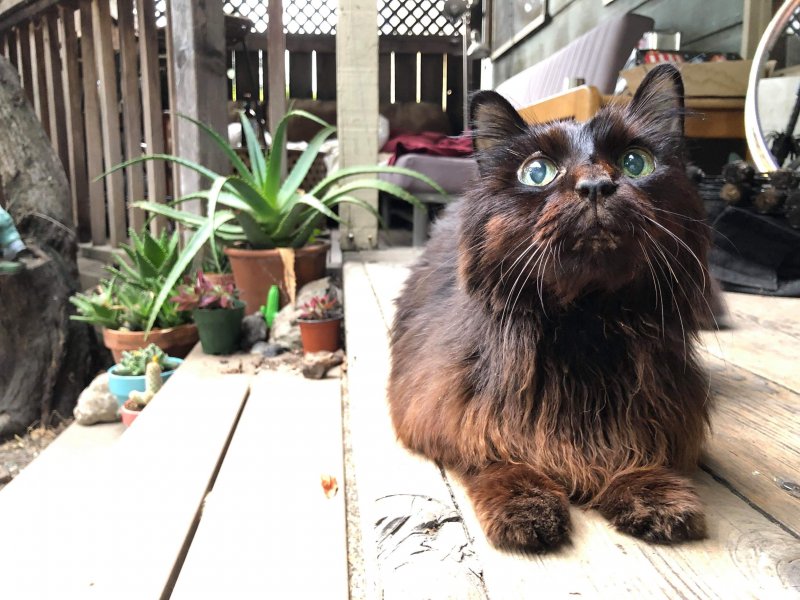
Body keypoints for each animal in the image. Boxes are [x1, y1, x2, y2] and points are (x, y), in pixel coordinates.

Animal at [388, 64, 712, 552]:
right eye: (537, 172)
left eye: (636, 162)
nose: (595, 186)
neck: (587, 321)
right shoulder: (444, 409)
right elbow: (495, 455)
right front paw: (524, 505)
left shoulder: (660, 407)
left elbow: (637, 448)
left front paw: (654, 496)